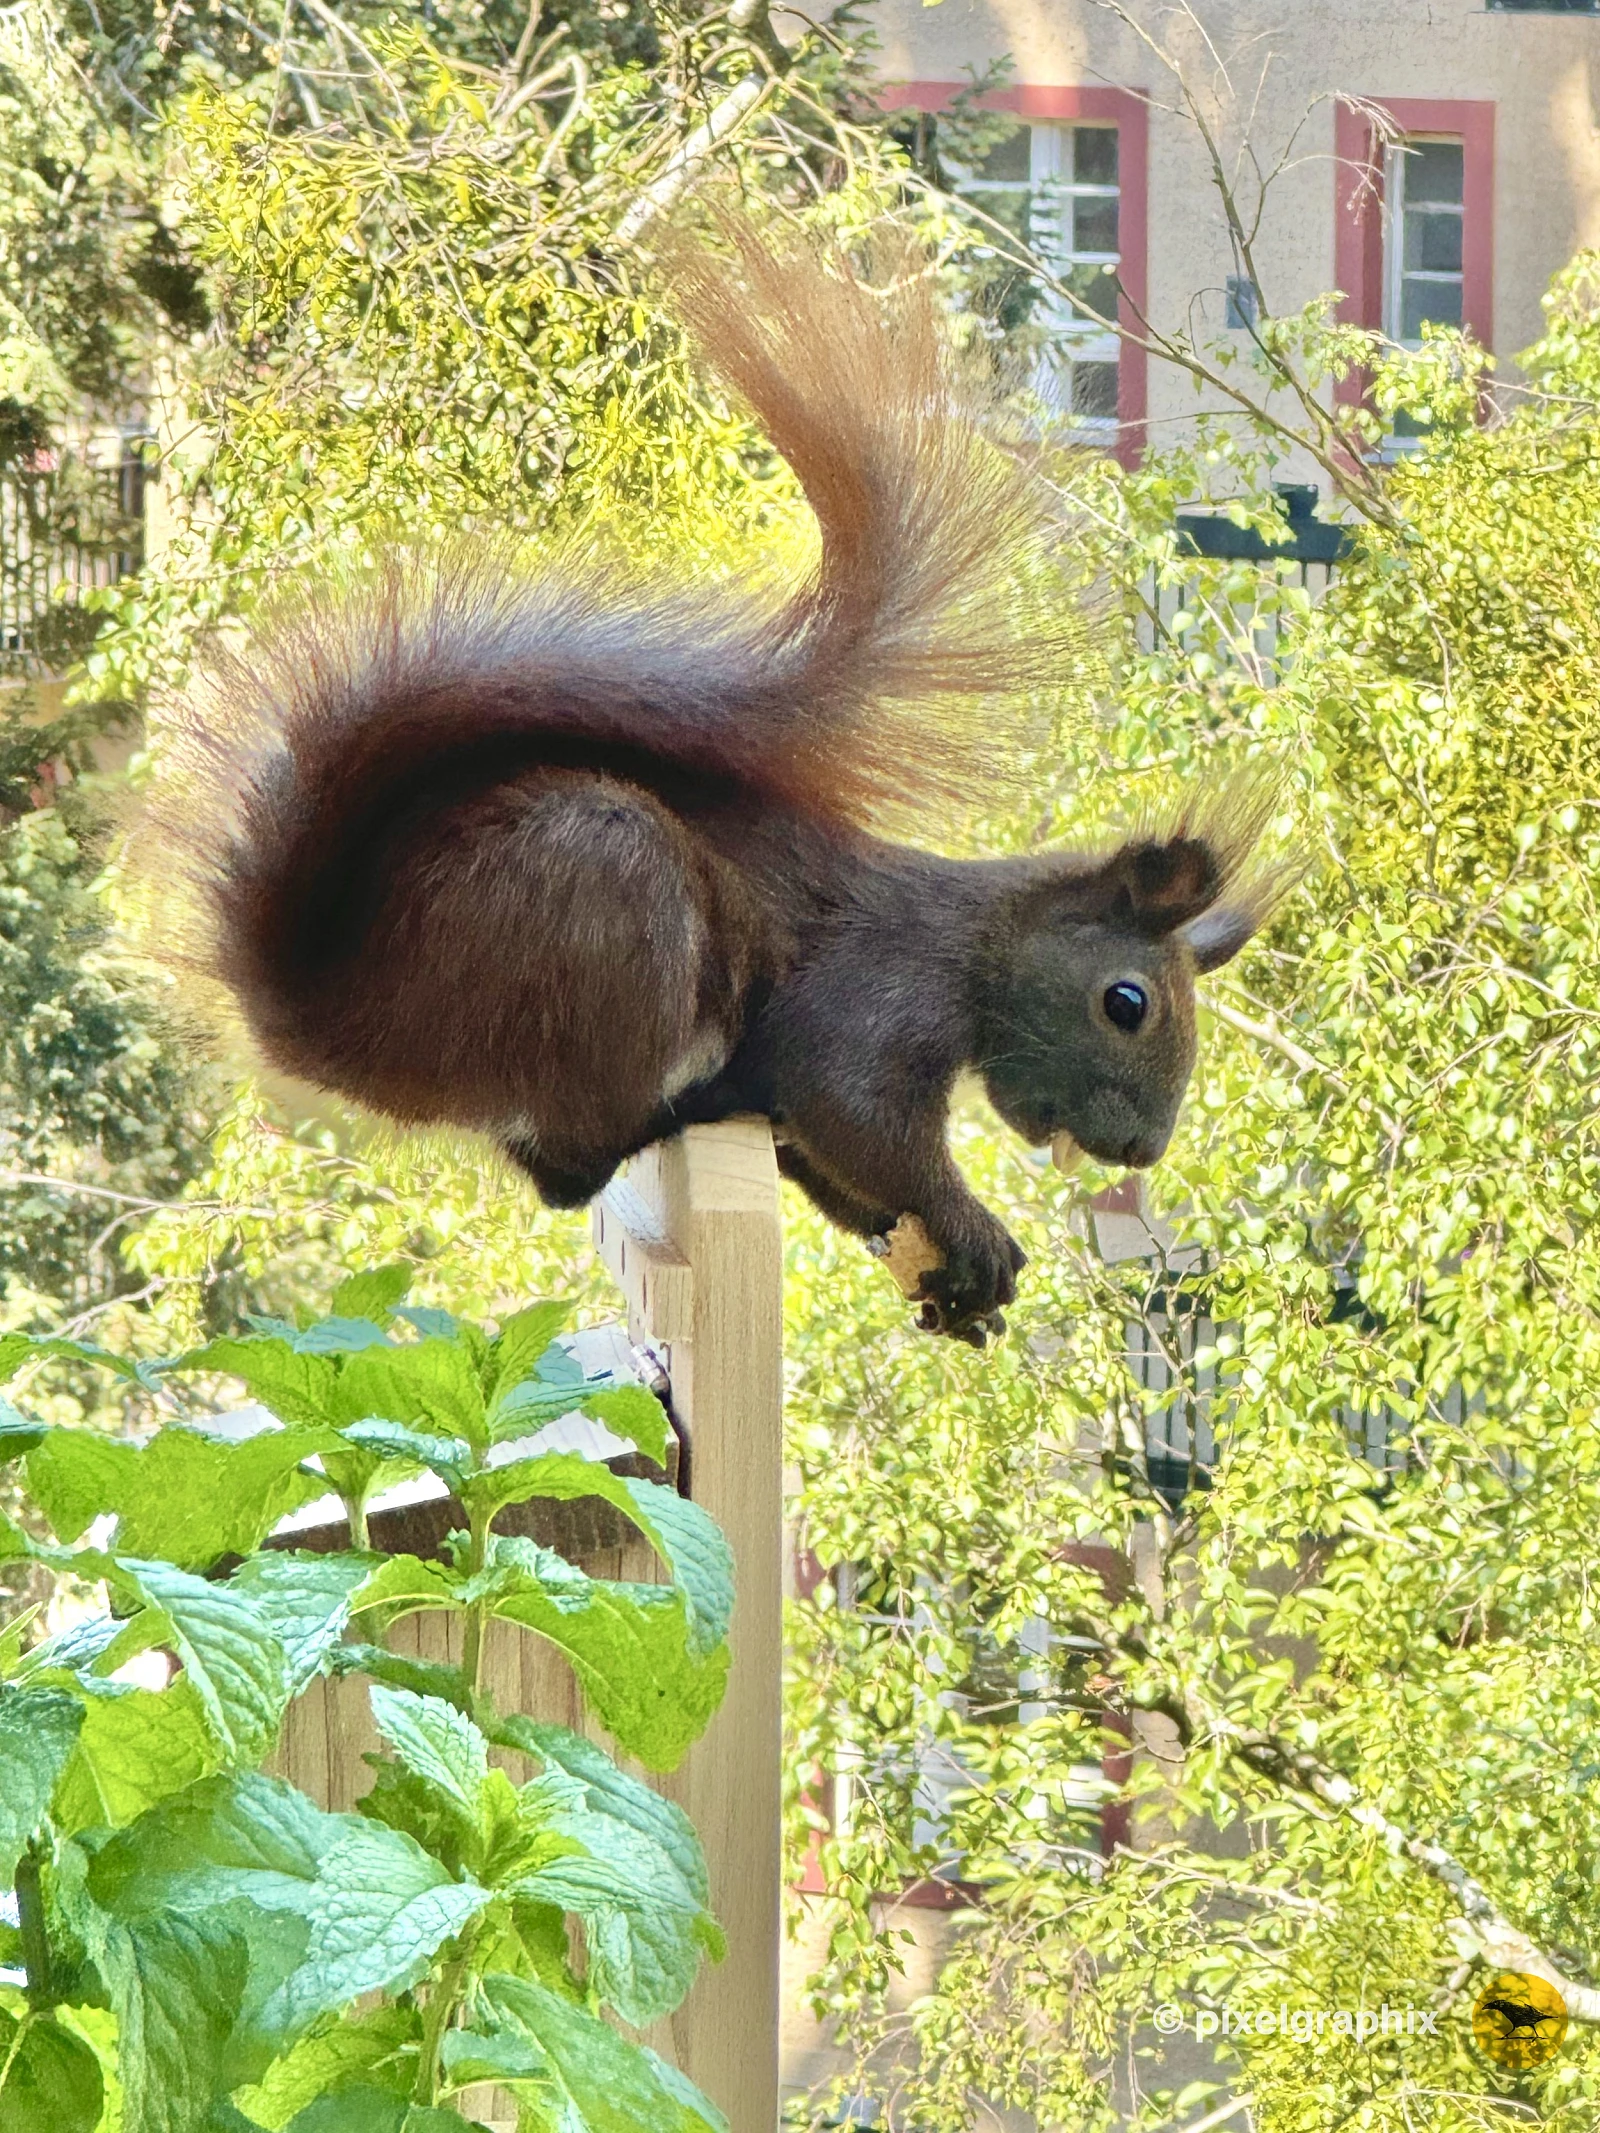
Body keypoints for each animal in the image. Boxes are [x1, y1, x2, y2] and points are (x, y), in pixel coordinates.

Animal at [149, 216, 1281, 1345]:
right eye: (1126, 1002)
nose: (1140, 1150)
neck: (977, 944)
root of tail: (334, 1027)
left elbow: (834, 1167)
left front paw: (953, 1278)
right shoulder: (873, 995)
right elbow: (856, 1114)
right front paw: (971, 1226)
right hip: (605, 914)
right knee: (567, 1165)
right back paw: (666, 1112)